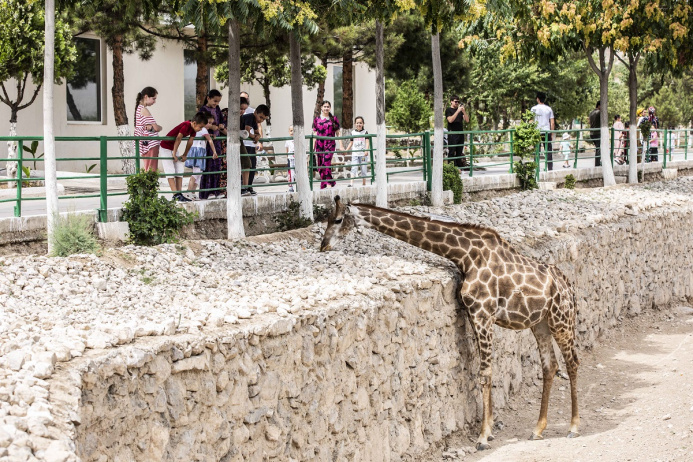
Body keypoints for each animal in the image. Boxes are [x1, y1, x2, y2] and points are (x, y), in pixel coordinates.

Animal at [318, 197, 580, 450]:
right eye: (327, 218)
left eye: (338, 219)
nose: (323, 245)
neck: (465, 255)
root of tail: (568, 286)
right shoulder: (474, 314)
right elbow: (484, 370)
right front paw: (489, 429)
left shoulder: (483, 314)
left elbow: (485, 372)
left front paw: (483, 437)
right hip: (541, 323)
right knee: (550, 366)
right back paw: (538, 429)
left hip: (562, 320)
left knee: (572, 363)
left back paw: (574, 427)